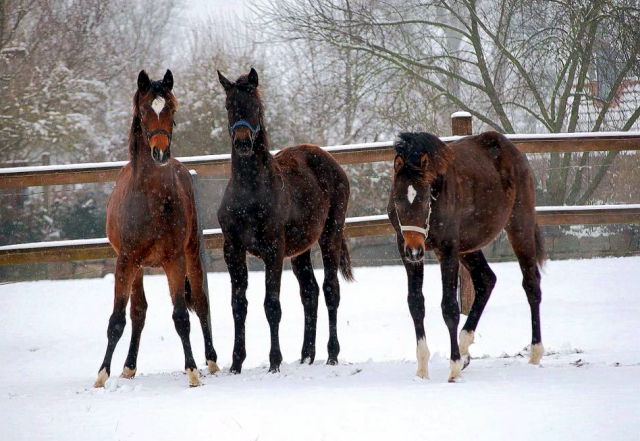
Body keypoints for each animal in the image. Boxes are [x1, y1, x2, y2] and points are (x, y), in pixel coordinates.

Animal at [92, 69, 218, 388]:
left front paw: (193, 370)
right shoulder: (125, 261)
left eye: (171, 109)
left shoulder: (174, 259)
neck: (151, 198)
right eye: (145, 109)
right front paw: (102, 375)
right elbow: (117, 319)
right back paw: (129, 366)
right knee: (138, 312)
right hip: (137, 267)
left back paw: (212, 360)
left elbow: (181, 317)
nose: (160, 152)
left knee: (201, 303)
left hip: (192, 254)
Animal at [218, 68, 352, 372]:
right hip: (301, 249)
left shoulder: (273, 250)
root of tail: (331, 162)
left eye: (256, 106)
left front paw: (275, 362)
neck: (250, 190)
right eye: (229, 106)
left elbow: (272, 305)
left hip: (330, 235)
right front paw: (236, 363)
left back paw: (332, 354)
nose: (243, 143)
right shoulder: (233, 249)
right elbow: (238, 305)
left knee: (330, 290)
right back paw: (306, 356)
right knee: (309, 292)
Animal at [390, 131, 544, 382]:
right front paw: (422, 370)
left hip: (520, 226)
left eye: (425, 198)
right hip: (468, 247)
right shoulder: (406, 251)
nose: (414, 250)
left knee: (531, 284)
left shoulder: (448, 251)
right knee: (486, 280)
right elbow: (416, 304)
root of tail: (513, 151)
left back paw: (535, 353)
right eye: (396, 199)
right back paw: (464, 349)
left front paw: (453, 368)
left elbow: (450, 307)